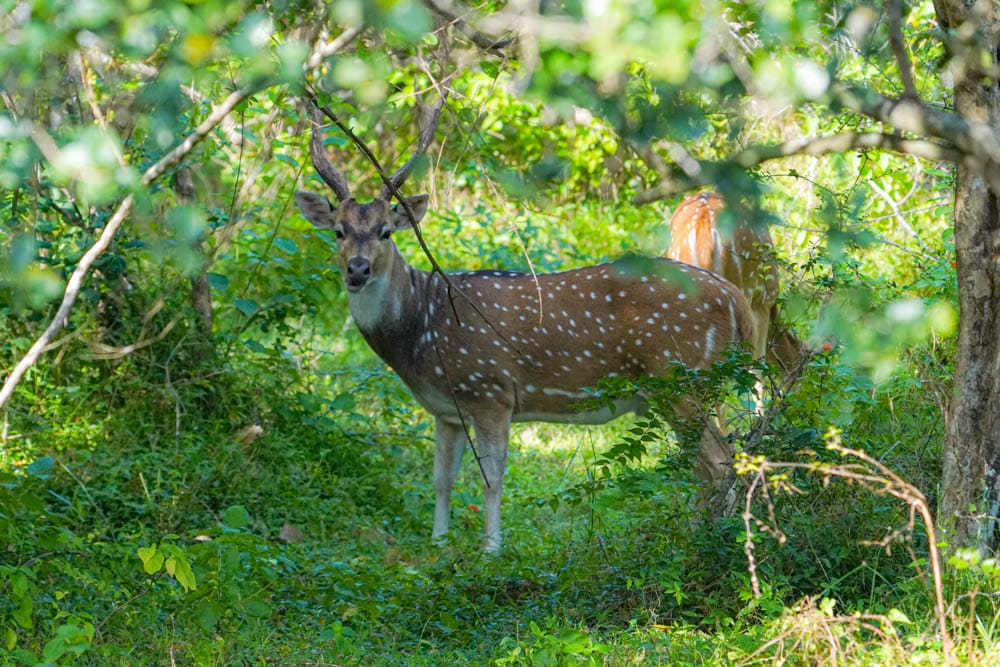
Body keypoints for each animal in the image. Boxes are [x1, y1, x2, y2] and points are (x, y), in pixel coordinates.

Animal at [296, 105, 756, 552]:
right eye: (338, 232)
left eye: (386, 232)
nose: (358, 269)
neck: (423, 329)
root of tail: (737, 301)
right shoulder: (447, 410)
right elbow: (441, 479)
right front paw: (438, 546)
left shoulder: (490, 390)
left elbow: (491, 478)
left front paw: (491, 550)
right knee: (712, 461)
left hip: (681, 377)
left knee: (719, 461)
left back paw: (703, 543)